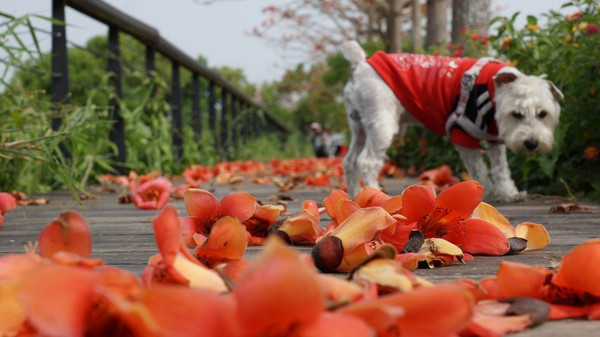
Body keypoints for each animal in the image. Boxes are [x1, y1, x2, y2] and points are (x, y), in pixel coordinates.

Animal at [342, 40, 564, 201]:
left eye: (543, 114)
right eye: (517, 114)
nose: (532, 143)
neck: (490, 93)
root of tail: (360, 66)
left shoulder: (494, 138)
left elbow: (501, 168)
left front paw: (509, 193)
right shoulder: (463, 134)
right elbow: (479, 169)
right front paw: (485, 191)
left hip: (360, 127)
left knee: (350, 162)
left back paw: (356, 196)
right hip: (381, 124)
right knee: (367, 161)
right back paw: (375, 194)